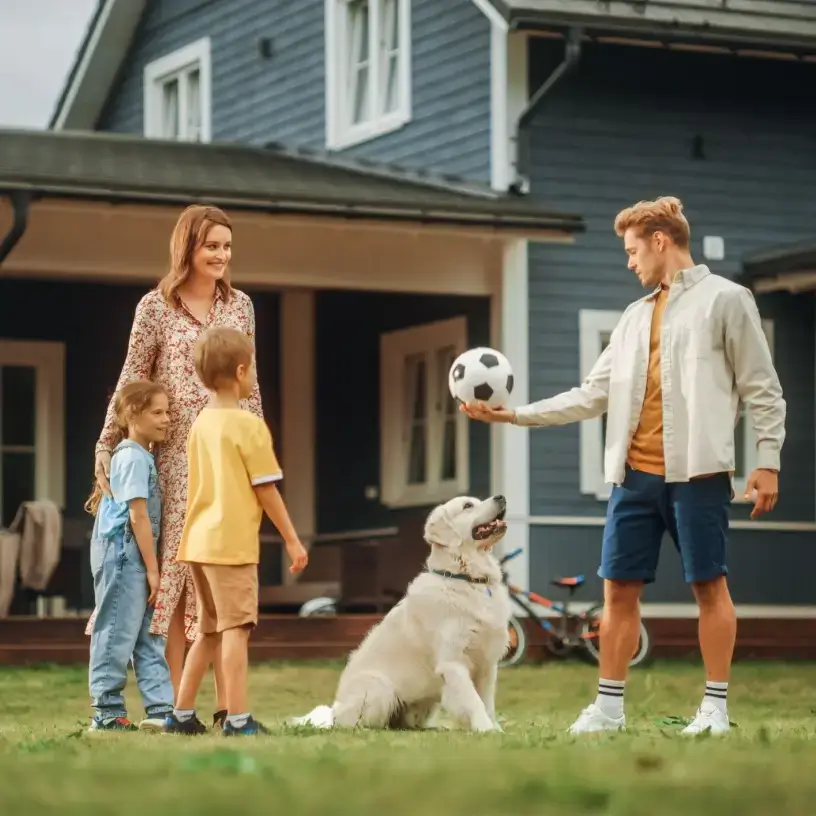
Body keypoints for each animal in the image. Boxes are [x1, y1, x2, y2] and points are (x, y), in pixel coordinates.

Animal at [292, 498, 510, 732]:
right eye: (467, 506)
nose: (501, 497)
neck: (467, 579)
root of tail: (334, 713)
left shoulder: (487, 664)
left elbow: (487, 702)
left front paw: (495, 729)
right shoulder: (453, 661)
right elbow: (473, 701)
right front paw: (485, 729)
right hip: (380, 688)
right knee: (361, 724)